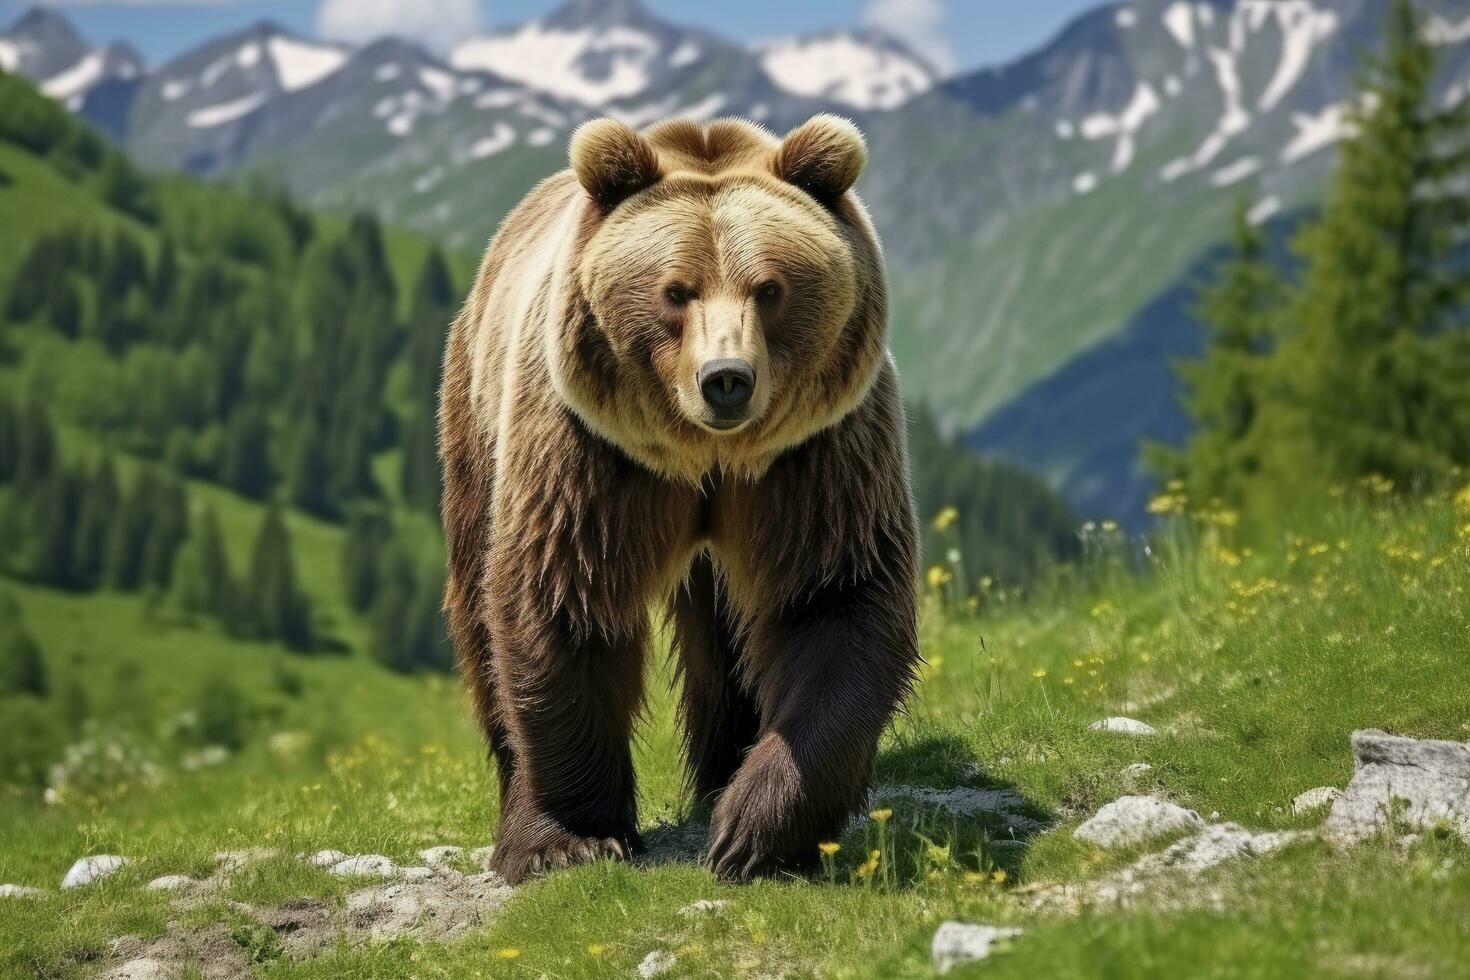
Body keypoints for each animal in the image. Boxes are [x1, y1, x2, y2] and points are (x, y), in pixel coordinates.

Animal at [438, 115, 917, 887]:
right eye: (675, 290)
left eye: (770, 288)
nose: (726, 379)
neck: (705, 458)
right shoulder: (590, 453)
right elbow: (561, 596)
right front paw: (568, 840)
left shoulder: (816, 456)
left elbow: (832, 596)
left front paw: (754, 830)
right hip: (476, 417)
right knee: (478, 606)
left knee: (730, 629)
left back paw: (723, 776)